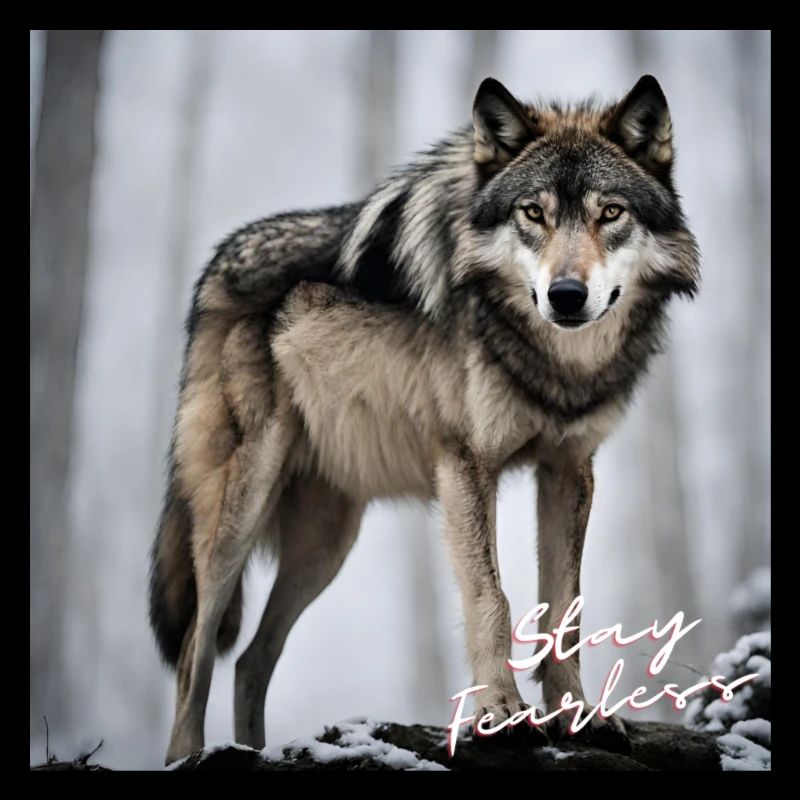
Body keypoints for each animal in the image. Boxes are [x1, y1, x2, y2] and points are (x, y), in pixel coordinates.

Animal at [148, 74, 700, 764]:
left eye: (611, 213)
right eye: (533, 213)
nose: (567, 296)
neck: (551, 362)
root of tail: (218, 262)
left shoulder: (568, 469)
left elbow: (564, 609)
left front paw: (578, 714)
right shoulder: (466, 464)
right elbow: (492, 597)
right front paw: (500, 711)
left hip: (327, 542)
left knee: (251, 660)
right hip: (242, 507)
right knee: (195, 653)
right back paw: (187, 754)